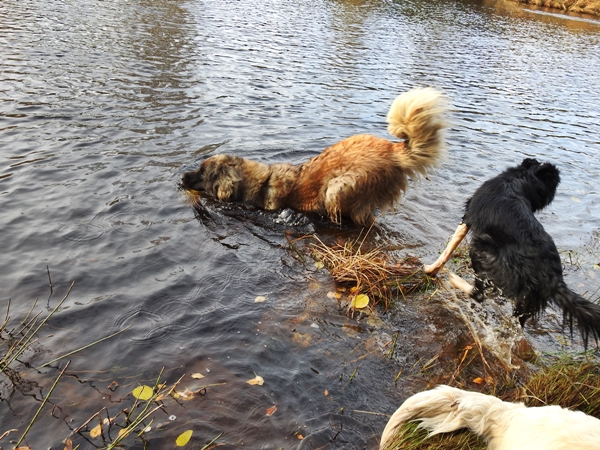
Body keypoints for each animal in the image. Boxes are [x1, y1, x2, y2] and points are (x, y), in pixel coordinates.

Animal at [424, 158, 600, 348]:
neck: (520, 179)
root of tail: (552, 277)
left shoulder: (468, 217)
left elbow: (449, 248)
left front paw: (430, 269)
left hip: (482, 251)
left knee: (480, 294)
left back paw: (456, 281)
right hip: (527, 303)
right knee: (516, 325)